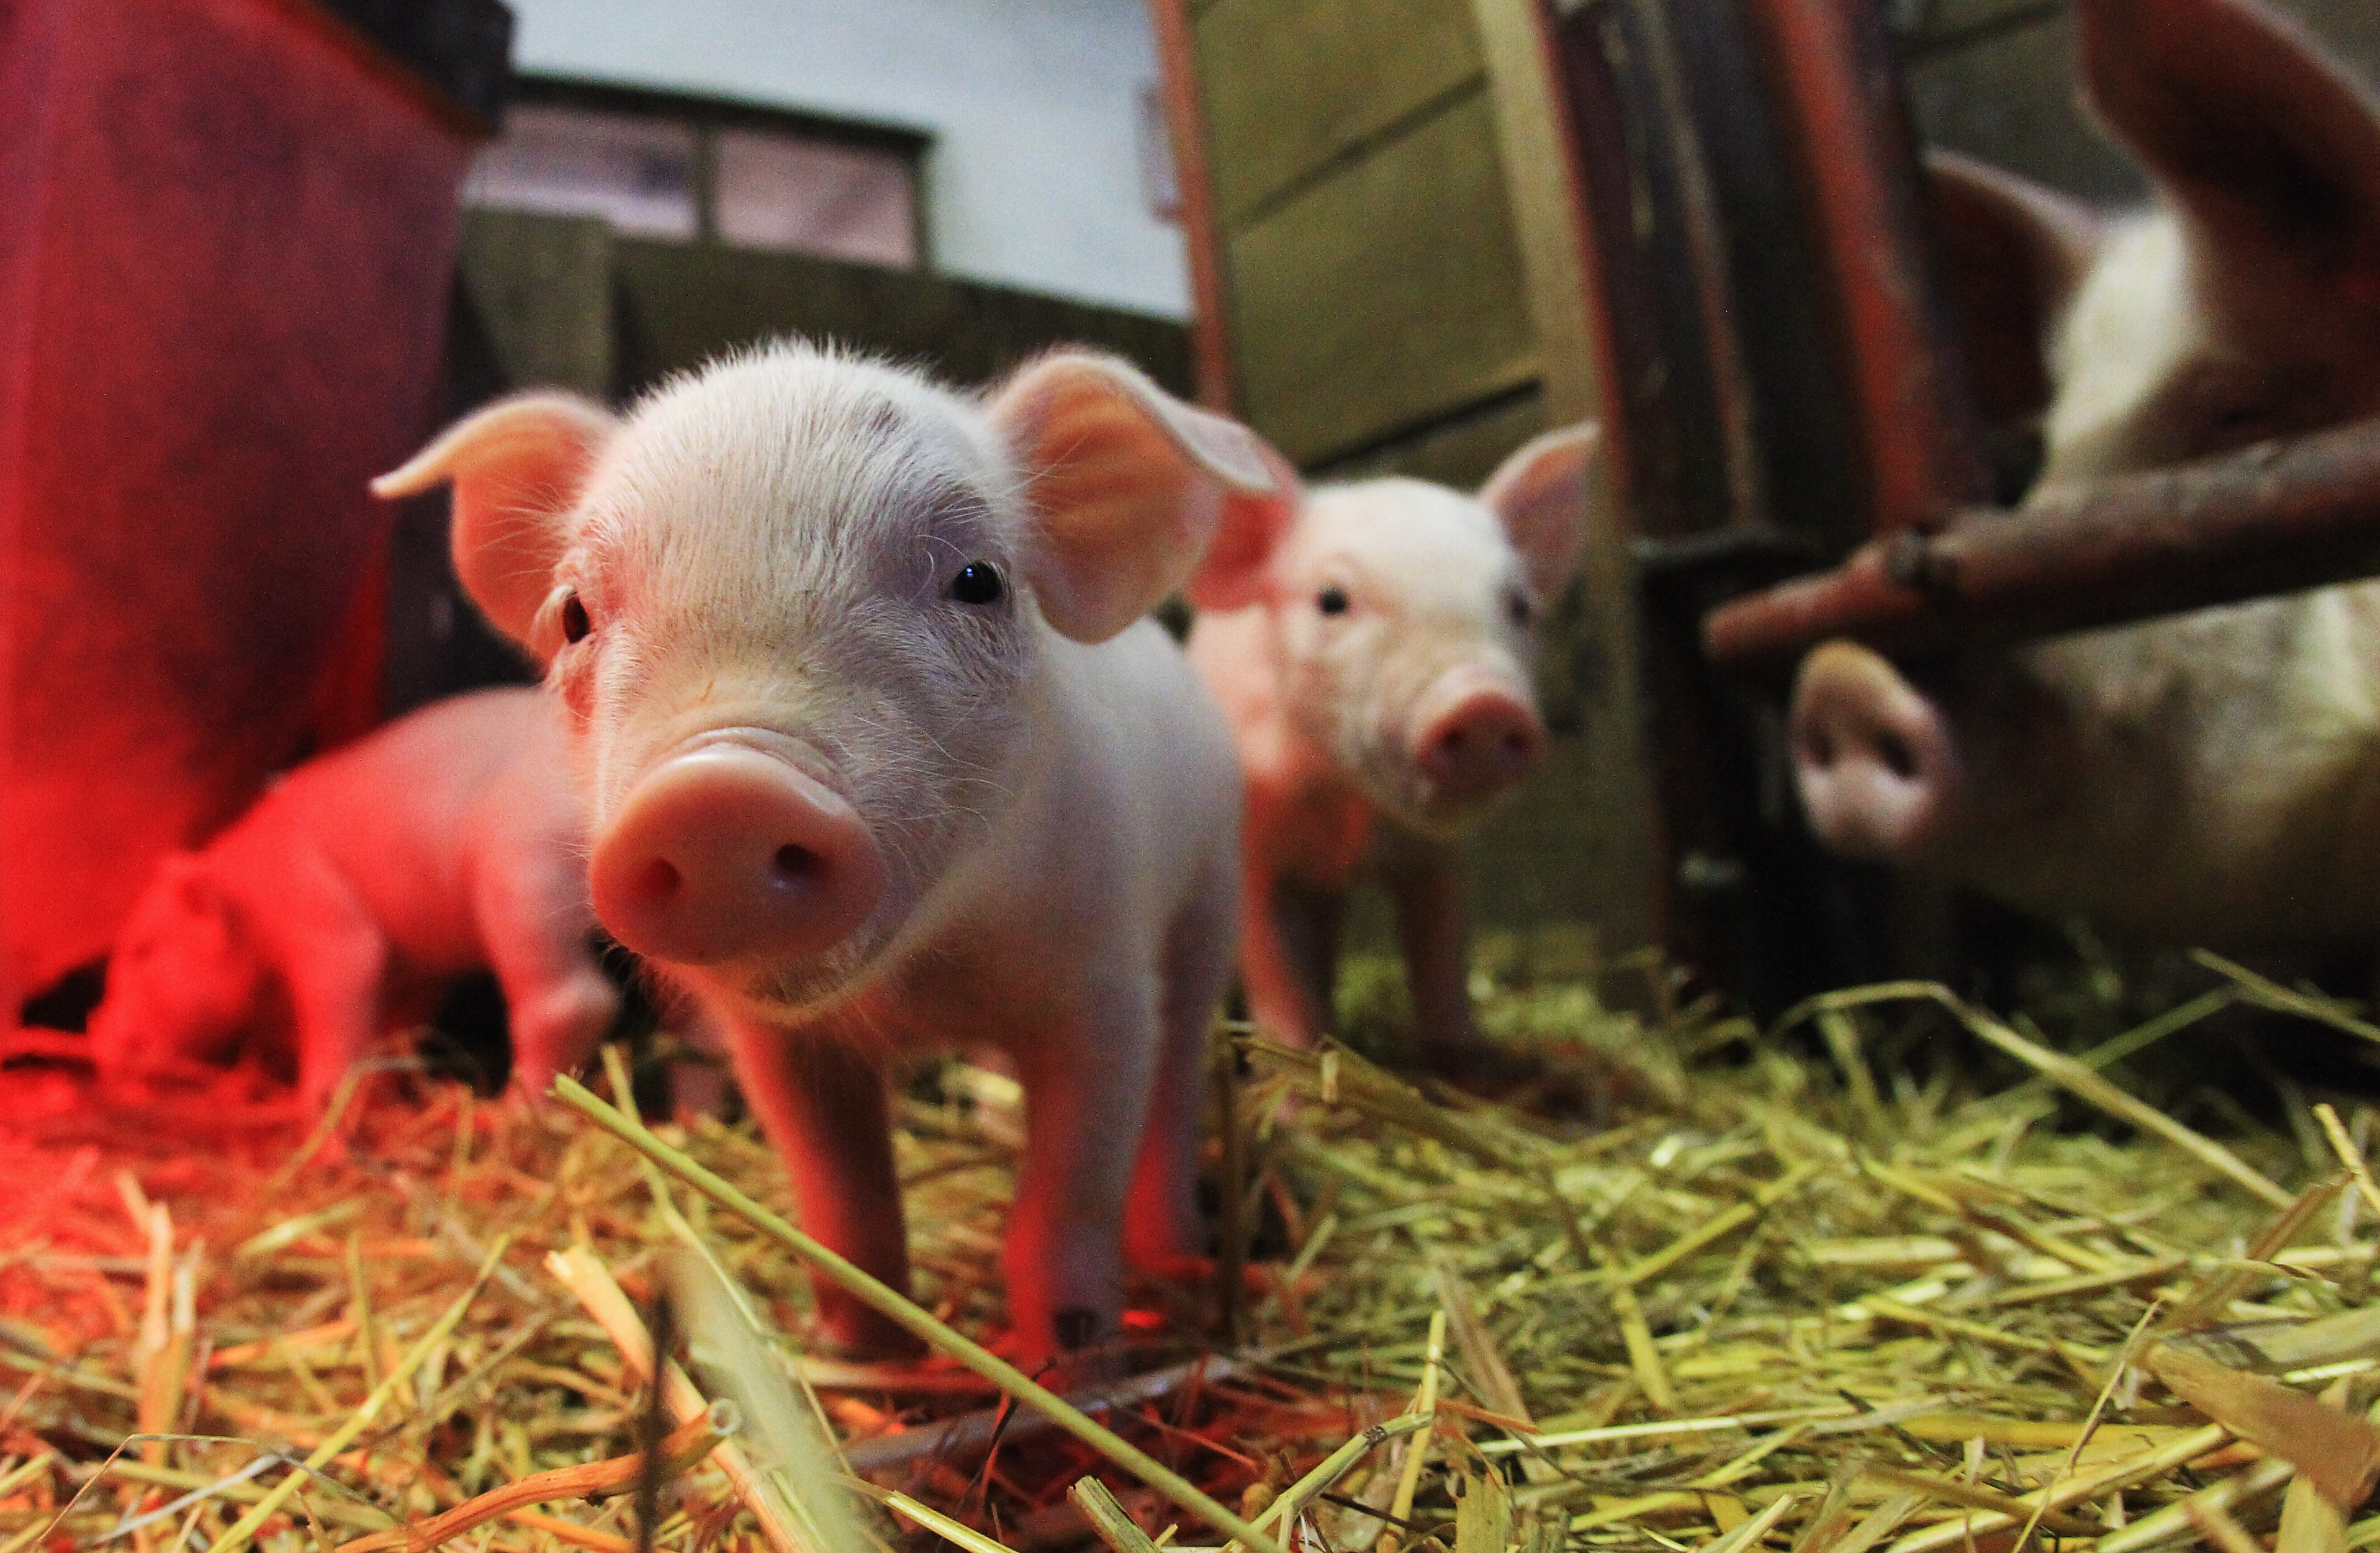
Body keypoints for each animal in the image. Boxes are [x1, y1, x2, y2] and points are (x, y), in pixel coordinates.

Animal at [87, 688, 619, 1104]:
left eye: (143, 950)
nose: (97, 1031)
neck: (251, 899)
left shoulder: (320, 912)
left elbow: (343, 991)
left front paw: (313, 1106)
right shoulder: (413, 967)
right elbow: (393, 1027)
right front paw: (385, 1093)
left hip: (522, 880)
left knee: (574, 1003)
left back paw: (507, 1113)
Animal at [372, 343, 1274, 1369]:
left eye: (978, 579)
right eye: (572, 615)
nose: (719, 792)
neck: (925, 982)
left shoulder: (1101, 985)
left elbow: (1065, 1200)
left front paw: (1068, 1365)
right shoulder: (776, 1042)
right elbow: (841, 1202)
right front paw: (861, 1353)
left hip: (1211, 893)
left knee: (1177, 1085)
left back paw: (1179, 1260)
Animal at [1183, 426, 1598, 1067]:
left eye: (1520, 605)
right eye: (1331, 600)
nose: (1483, 704)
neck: (1347, 808)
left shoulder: (1438, 856)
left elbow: (1443, 956)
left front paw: (1467, 1061)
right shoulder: (1254, 851)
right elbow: (1276, 970)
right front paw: (1293, 1078)